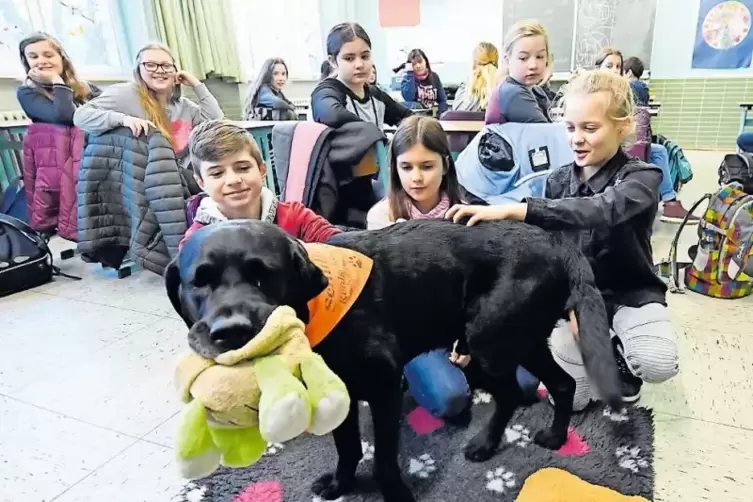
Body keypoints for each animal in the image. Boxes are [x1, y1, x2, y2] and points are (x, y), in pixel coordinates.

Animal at [167, 219, 620, 502]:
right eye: (199, 282)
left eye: (263, 275)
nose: (231, 331)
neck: (317, 305)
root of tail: (557, 244)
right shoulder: (342, 394)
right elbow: (348, 447)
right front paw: (341, 484)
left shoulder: (384, 387)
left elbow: (384, 457)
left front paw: (394, 493)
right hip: (520, 342)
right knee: (561, 383)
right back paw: (554, 437)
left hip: (488, 346)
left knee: (511, 393)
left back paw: (486, 445)